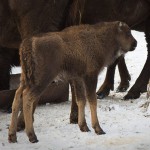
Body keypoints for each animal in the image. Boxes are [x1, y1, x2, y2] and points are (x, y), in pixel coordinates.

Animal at [8, 21, 137, 143]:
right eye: (127, 33)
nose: (135, 43)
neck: (100, 39)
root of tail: (28, 43)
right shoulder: (90, 76)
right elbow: (92, 101)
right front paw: (98, 129)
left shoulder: (78, 79)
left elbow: (81, 100)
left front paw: (84, 127)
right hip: (42, 80)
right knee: (27, 98)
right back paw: (32, 136)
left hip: (25, 79)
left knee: (17, 96)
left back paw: (12, 136)